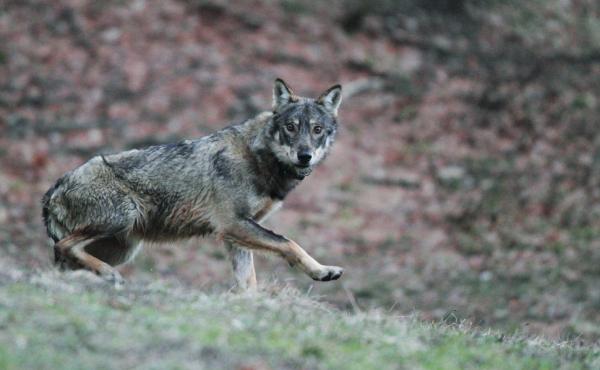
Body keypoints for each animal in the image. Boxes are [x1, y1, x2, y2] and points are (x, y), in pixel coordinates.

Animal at [41, 79, 342, 290]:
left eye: (317, 130)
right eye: (291, 127)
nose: (305, 155)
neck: (259, 157)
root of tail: (53, 189)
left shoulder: (236, 234)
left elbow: (249, 285)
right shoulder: (233, 224)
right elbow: (289, 243)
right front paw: (321, 271)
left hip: (123, 247)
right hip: (121, 219)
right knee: (65, 246)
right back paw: (109, 275)